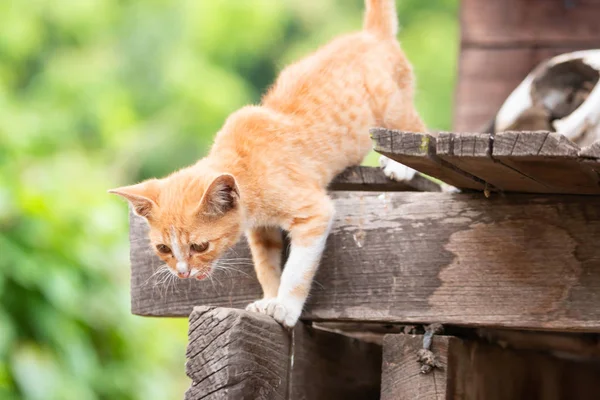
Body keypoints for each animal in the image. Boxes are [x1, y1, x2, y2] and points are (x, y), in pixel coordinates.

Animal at [109, 0, 426, 328]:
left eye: (200, 246)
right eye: (163, 249)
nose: (183, 272)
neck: (246, 163)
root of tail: (371, 36)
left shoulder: (314, 212)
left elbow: (297, 269)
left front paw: (285, 306)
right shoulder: (261, 231)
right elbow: (266, 265)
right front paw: (269, 299)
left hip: (392, 107)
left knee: (416, 127)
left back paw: (400, 164)